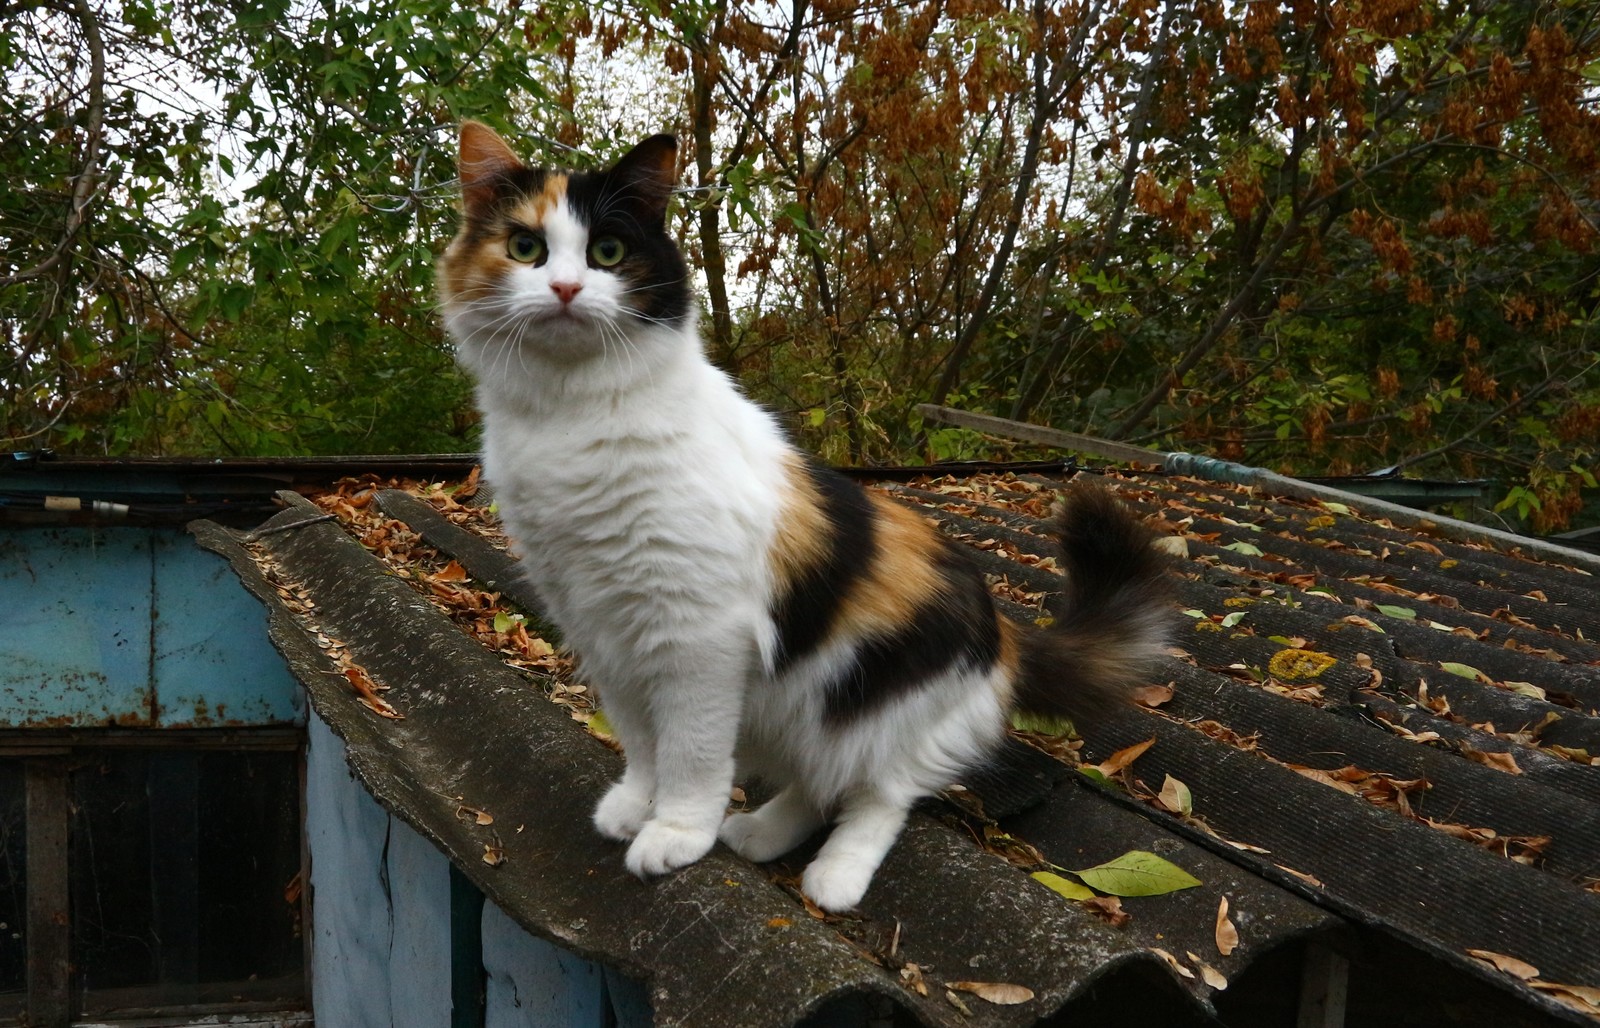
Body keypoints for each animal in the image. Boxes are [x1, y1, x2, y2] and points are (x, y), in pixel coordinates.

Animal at [441, 121, 1177, 909]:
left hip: (880, 713)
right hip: (800, 712)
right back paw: (761, 834)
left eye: (608, 252)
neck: (570, 416)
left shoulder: (699, 635)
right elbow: (642, 740)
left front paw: (677, 833)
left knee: (879, 795)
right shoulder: (600, 624)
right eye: (525, 247)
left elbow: (691, 751)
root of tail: (1007, 636)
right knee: (818, 783)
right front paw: (637, 805)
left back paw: (834, 875)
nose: (566, 288)